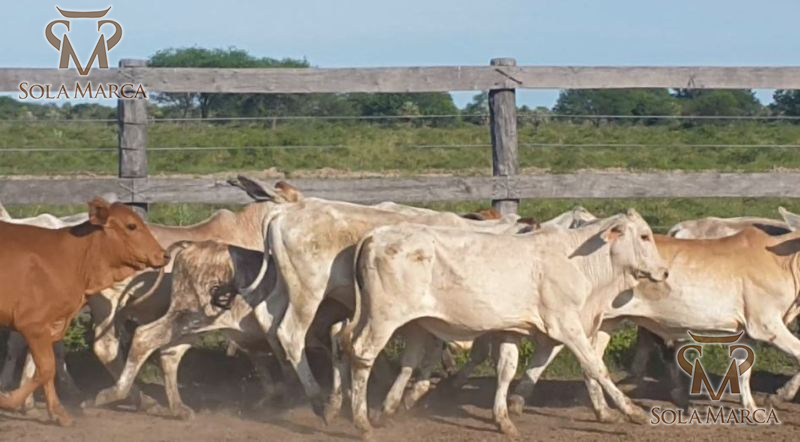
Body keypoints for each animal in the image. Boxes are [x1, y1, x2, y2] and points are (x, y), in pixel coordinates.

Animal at [0, 197, 168, 426]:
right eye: (131, 226)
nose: (164, 254)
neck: (72, 258)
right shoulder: (33, 325)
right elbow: (46, 368)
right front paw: (8, 400)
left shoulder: (50, 326)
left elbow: (45, 369)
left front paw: (58, 413)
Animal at [339, 210, 668, 437]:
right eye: (644, 236)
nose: (664, 272)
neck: (578, 262)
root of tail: (376, 236)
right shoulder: (566, 325)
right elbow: (595, 367)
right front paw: (633, 412)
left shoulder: (514, 330)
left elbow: (508, 370)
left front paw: (505, 418)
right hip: (383, 317)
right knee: (363, 354)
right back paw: (361, 422)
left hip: (414, 323)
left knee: (392, 356)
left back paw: (382, 408)